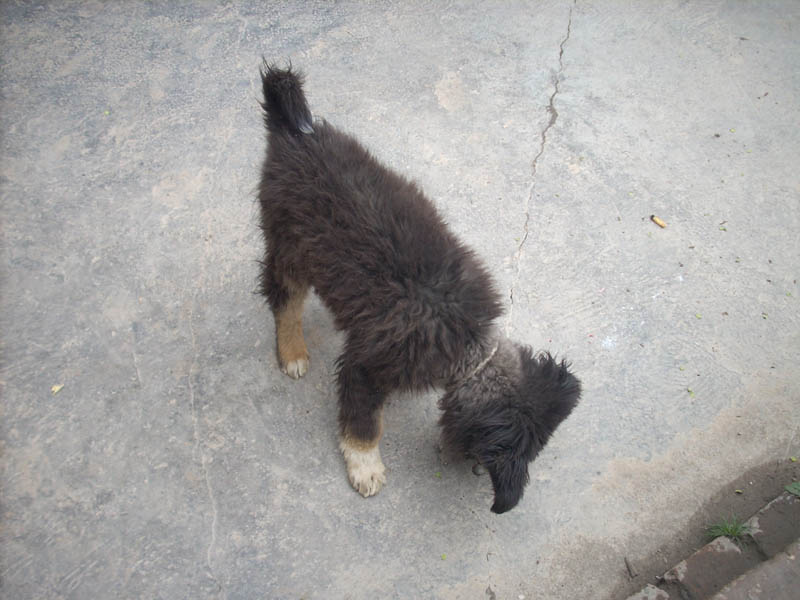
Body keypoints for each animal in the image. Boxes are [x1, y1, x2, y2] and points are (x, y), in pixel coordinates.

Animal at [256, 63, 581, 513]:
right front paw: (365, 466)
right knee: (284, 301)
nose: (464, 465)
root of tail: (295, 130)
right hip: (290, 245)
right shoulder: (365, 366)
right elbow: (364, 424)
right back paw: (292, 352)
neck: (467, 344)